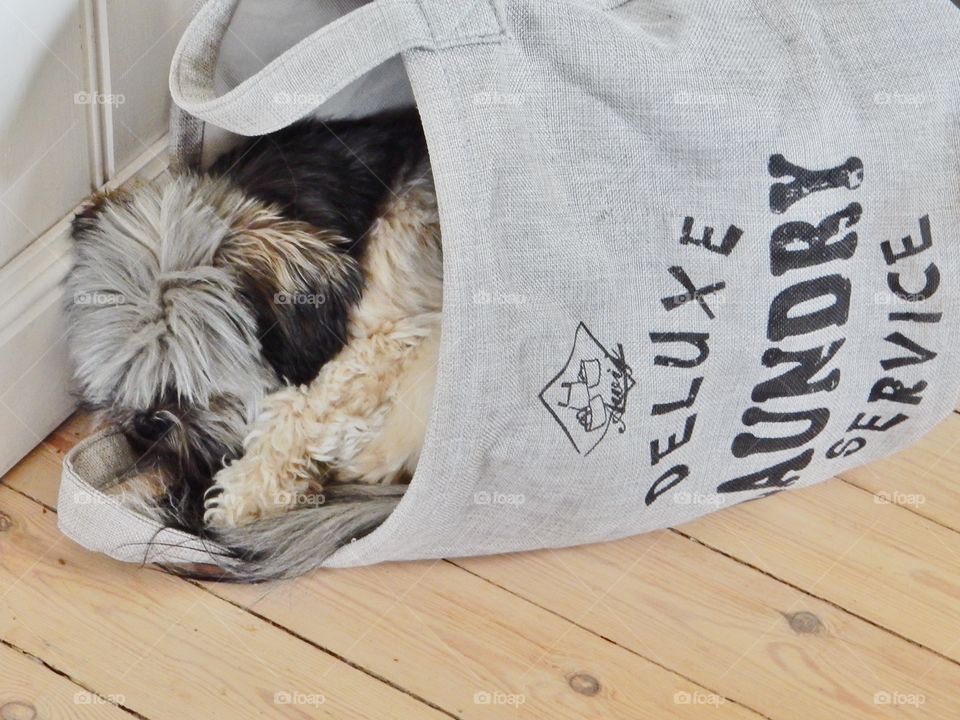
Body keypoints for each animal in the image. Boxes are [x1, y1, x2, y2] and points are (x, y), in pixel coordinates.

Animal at [63, 108, 442, 580]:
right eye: (119, 375)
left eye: (197, 380)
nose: (149, 423)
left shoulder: (386, 336)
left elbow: (303, 408)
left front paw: (240, 497)